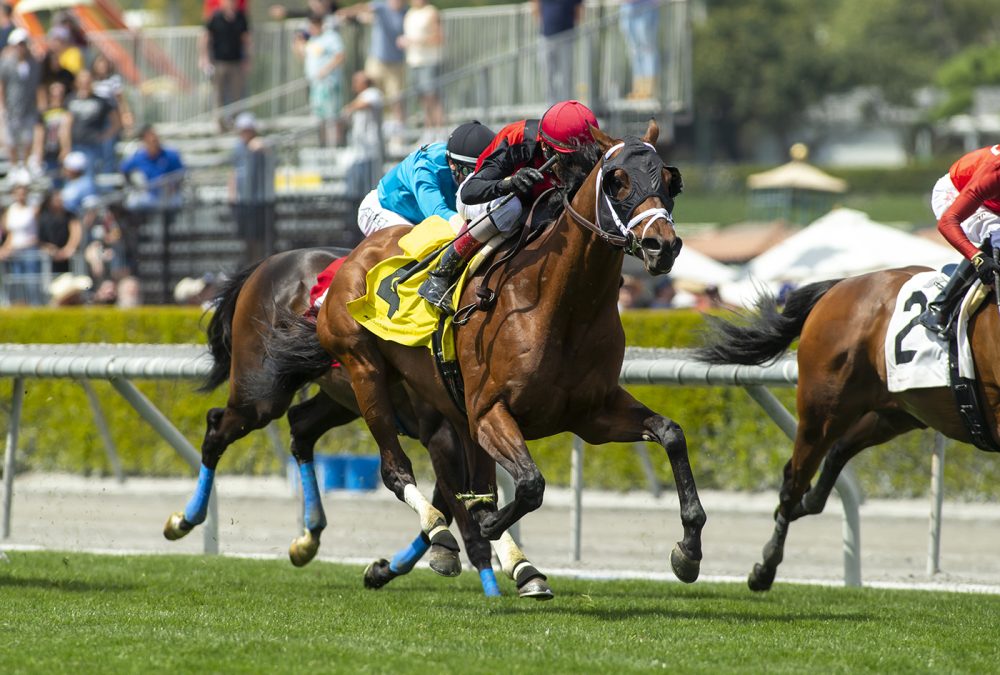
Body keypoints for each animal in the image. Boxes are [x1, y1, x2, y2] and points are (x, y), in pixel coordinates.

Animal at [161, 248, 552, 596]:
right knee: (217, 427)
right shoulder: (442, 436)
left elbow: (459, 504)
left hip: (343, 395)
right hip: (262, 392)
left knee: (301, 427)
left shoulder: (462, 433)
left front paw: (389, 568)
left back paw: (308, 536)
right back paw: (185, 519)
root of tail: (267, 263)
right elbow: (464, 514)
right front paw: (496, 581)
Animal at [258, 119, 712, 584]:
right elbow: (527, 485)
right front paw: (487, 523)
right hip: (364, 371)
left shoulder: (592, 413)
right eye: (617, 180)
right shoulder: (491, 411)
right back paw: (437, 533)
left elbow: (671, 433)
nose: (662, 246)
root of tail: (352, 257)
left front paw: (688, 550)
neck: (562, 304)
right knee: (394, 468)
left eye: (669, 181)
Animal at [696, 266, 1000, 588]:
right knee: (794, 478)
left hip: (897, 412)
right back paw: (765, 568)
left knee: (837, 452)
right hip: (822, 413)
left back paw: (806, 505)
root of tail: (842, 284)